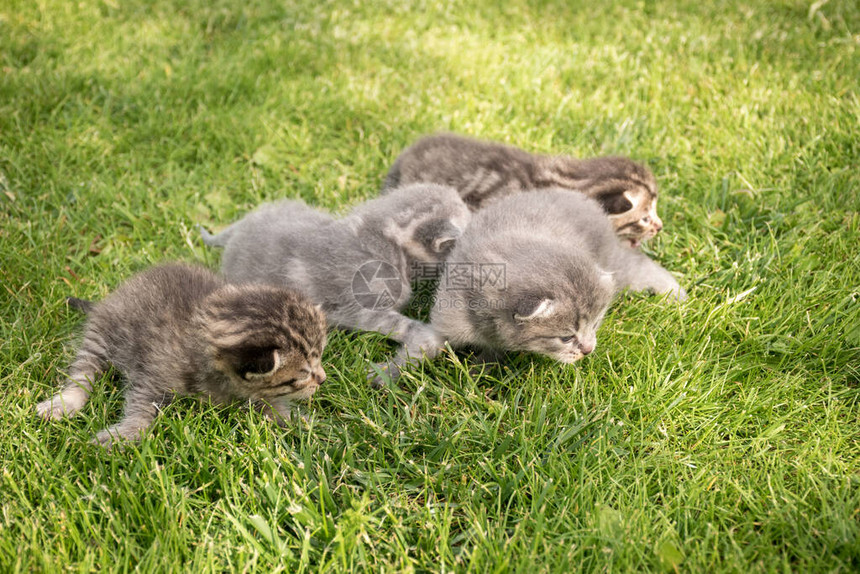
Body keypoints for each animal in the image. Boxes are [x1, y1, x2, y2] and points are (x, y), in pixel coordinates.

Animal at [37, 264, 328, 448]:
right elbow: (142, 406)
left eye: (319, 359)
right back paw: (64, 402)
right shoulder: (152, 374)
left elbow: (272, 405)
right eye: (303, 374)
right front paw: (127, 432)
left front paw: (300, 422)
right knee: (83, 371)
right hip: (103, 332)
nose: (323, 379)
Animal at [376, 189, 684, 382]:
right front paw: (386, 374)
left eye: (596, 325)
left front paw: (478, 371)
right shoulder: (446, 317)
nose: (588, 350)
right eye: (566, 337)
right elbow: (421, 345)